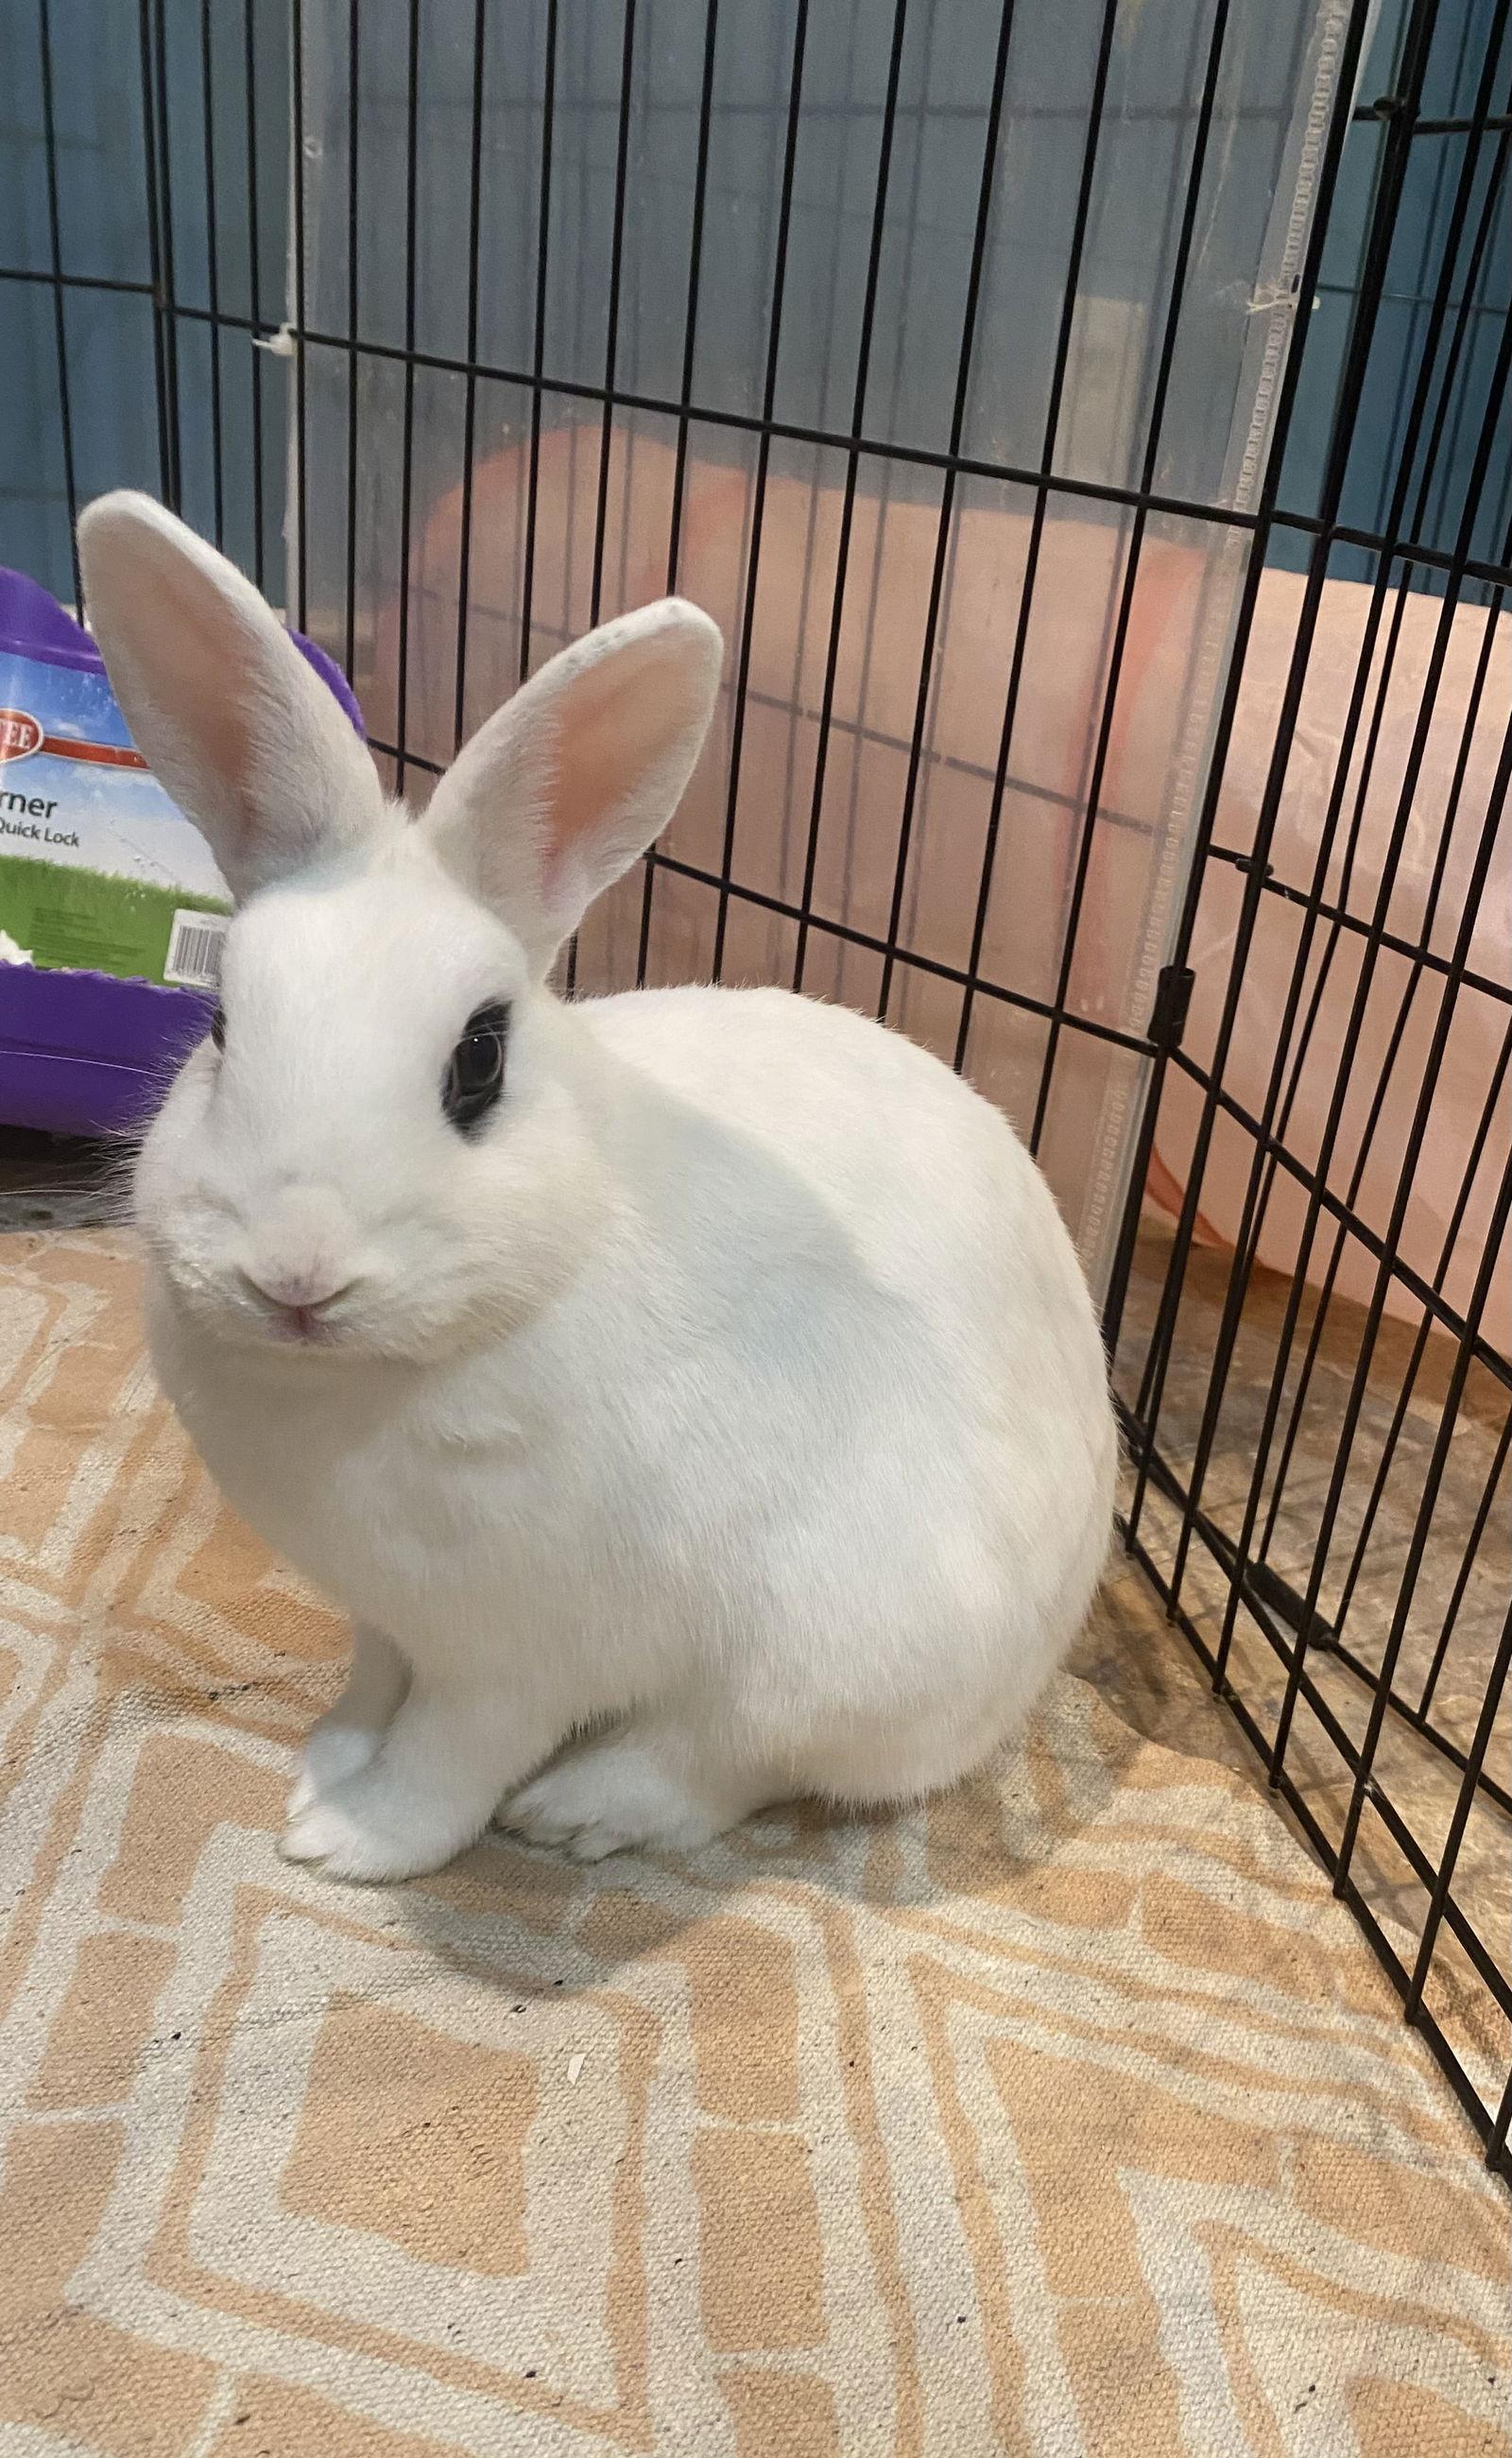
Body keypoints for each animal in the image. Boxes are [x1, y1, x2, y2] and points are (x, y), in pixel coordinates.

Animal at [77, 490, 1118, 1884]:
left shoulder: (518, 1657)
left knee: (734, 1762)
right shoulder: (390, 1619)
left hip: (843, 1647)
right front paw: (325, 1761)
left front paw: (353, 1840)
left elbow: (452, 1754)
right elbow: (372, 1687)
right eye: (220, 1026)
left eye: (479, 1060)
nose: (296, 1273)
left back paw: (588, 1809)